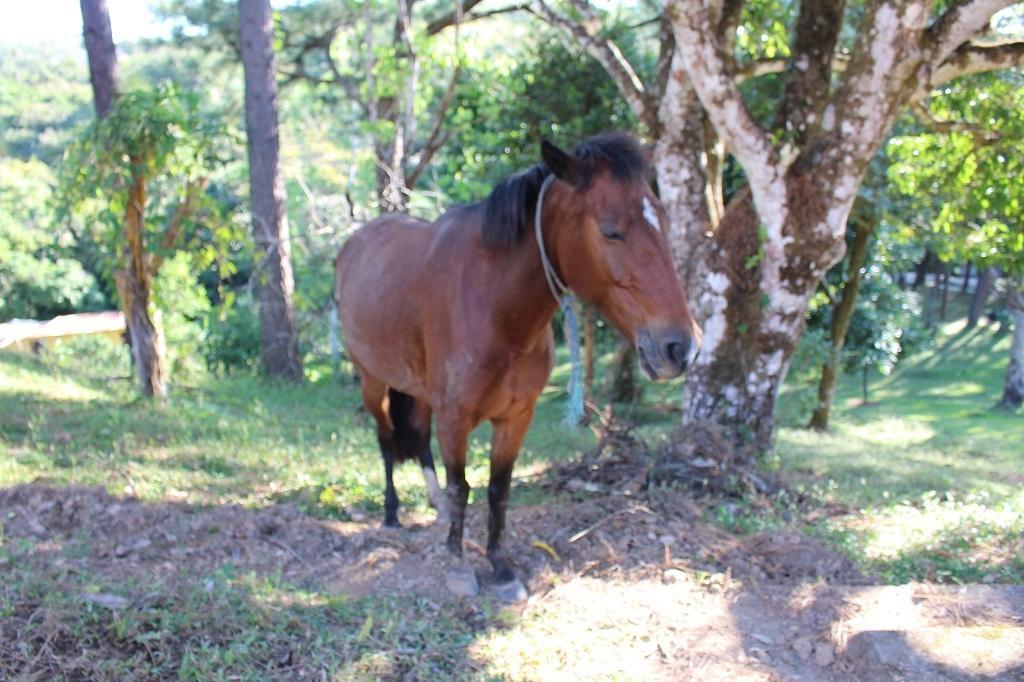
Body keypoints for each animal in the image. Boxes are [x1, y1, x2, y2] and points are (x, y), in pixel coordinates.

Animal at [335, 133, 696, 602]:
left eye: (665, 225)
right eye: (611, 231)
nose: (680, 346)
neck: (496, 308)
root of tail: (354, 244)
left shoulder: (516, 416)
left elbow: (498, 490)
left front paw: (501, 567)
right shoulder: (455, 417)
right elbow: (462, 487)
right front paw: (458, 565)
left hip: (418, 391)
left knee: (417, 438)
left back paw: (434, 509)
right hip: (372, 381)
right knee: (385, 439)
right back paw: (393, 513)